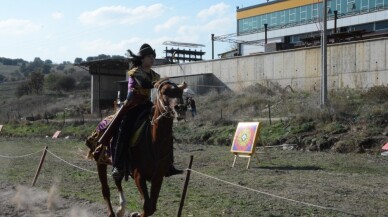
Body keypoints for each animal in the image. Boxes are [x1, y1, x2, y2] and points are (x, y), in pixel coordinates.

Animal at [86, 78, 186, 217]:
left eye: (180, 93)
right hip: (100, 162)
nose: (181, 108)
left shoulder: (158, 177)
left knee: (117, 179)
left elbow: (151, 207)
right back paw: (114, 211)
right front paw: (135, 214)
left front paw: (135, 213)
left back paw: (121, 208)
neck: (154, 142)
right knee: (105, 190)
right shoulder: (139, 176)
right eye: (165, 92)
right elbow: (147, 206)